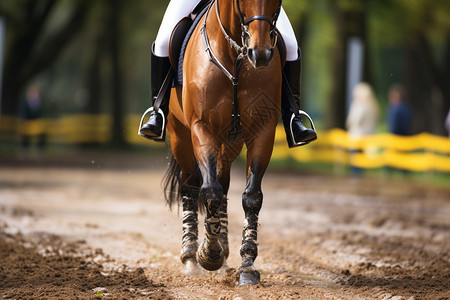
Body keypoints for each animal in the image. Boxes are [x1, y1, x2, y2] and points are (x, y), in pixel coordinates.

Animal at [163, 0, 284, 286]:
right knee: (191, 184)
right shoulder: (201, 128)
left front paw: (247, 266)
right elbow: (210, 192)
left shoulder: (263, 132)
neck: (236, 56)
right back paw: (190, 256)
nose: (260, 54)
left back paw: (224, 249)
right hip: (180, 134)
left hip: (230, 142)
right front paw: (209, 254)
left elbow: (251, 197)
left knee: (224, 182)